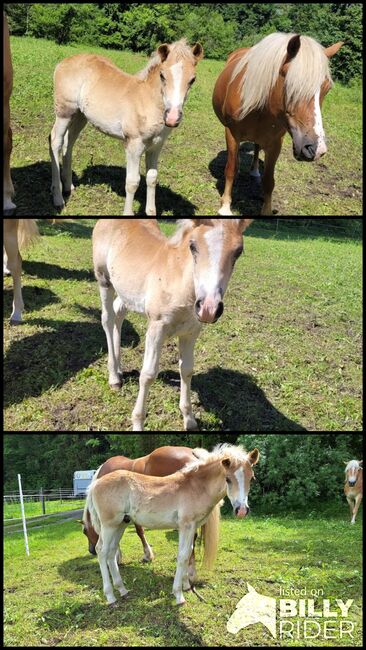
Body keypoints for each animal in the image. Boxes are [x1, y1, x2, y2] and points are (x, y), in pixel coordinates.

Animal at [49, 38, 203, 213]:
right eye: (162, 75)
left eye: (192, 79)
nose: (172, 117)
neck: (147, 101)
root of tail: (63, 61)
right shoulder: (133, 144)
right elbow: (132, 182)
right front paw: (128, 213)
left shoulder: (156, 146)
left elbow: (152, 178)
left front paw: (151, 213)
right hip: (64, 111)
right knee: (55, 141)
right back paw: (58, 197)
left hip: (81, 115)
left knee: (69, 143)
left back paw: (69, 187)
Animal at [91, 218, 253, 430]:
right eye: (193, 246)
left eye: (238, 251)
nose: (208, 308)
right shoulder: (156, 328)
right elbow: (148, 374)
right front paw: (138, 423)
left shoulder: (191, 332)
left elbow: (187, 370)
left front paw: (189, 419)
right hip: (104, 280)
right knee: (108, 319)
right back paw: (114, 377)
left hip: (127, 292)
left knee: (118, 314)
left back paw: (118, 369)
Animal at [212, 31, 344, 214]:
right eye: (292, 86)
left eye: (327, 88)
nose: (316, 150)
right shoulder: (232, 134)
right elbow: (231, 169)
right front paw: (225, 207)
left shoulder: (275, 143)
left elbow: (269, 180)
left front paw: (266, 210)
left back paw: (254, 171)